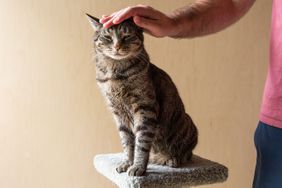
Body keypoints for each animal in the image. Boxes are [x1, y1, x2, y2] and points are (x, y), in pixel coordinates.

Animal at [86, 13, 198, 176]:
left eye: (127, 36)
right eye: (107, 37)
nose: (117, 46)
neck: (115, 73)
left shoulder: (145, 108)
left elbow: (142, 142)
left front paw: (137, 167)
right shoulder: (118, 113)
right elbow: (127, 143)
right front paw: (127, 163)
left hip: (186, 124)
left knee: (185, 153)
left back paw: (170, 159)